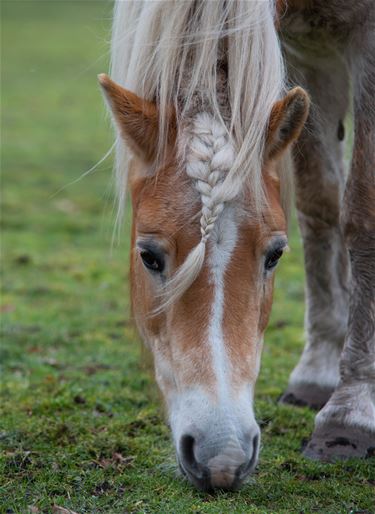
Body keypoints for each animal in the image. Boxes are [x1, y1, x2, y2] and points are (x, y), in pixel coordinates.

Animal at [98, 0, 374, 488]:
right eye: (148, 256)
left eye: (275, 254)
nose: (222, 457)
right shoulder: (301, 47)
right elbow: (318, 200)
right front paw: (318, 370)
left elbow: (361, 210)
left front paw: (349, 413)